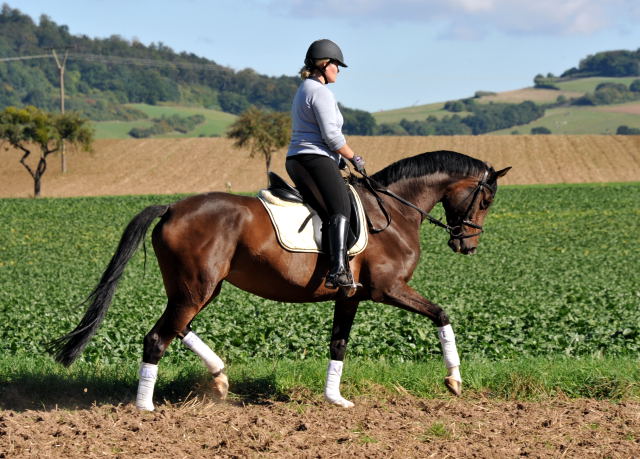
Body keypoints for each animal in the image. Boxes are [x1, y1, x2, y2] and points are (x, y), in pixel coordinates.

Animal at [48, 150, 510, 410]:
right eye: (486, 199)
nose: (468, 245)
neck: (393, 213)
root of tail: (172, 208)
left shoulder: (351, 297)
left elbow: (338, 343)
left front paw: (335, 399)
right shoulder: (389, 290)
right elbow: (442, 315)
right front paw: (454, 380)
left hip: (198, 287)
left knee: (177, 328)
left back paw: (219, 378)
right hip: (196, 288)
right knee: (158, 337)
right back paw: (145, 409)